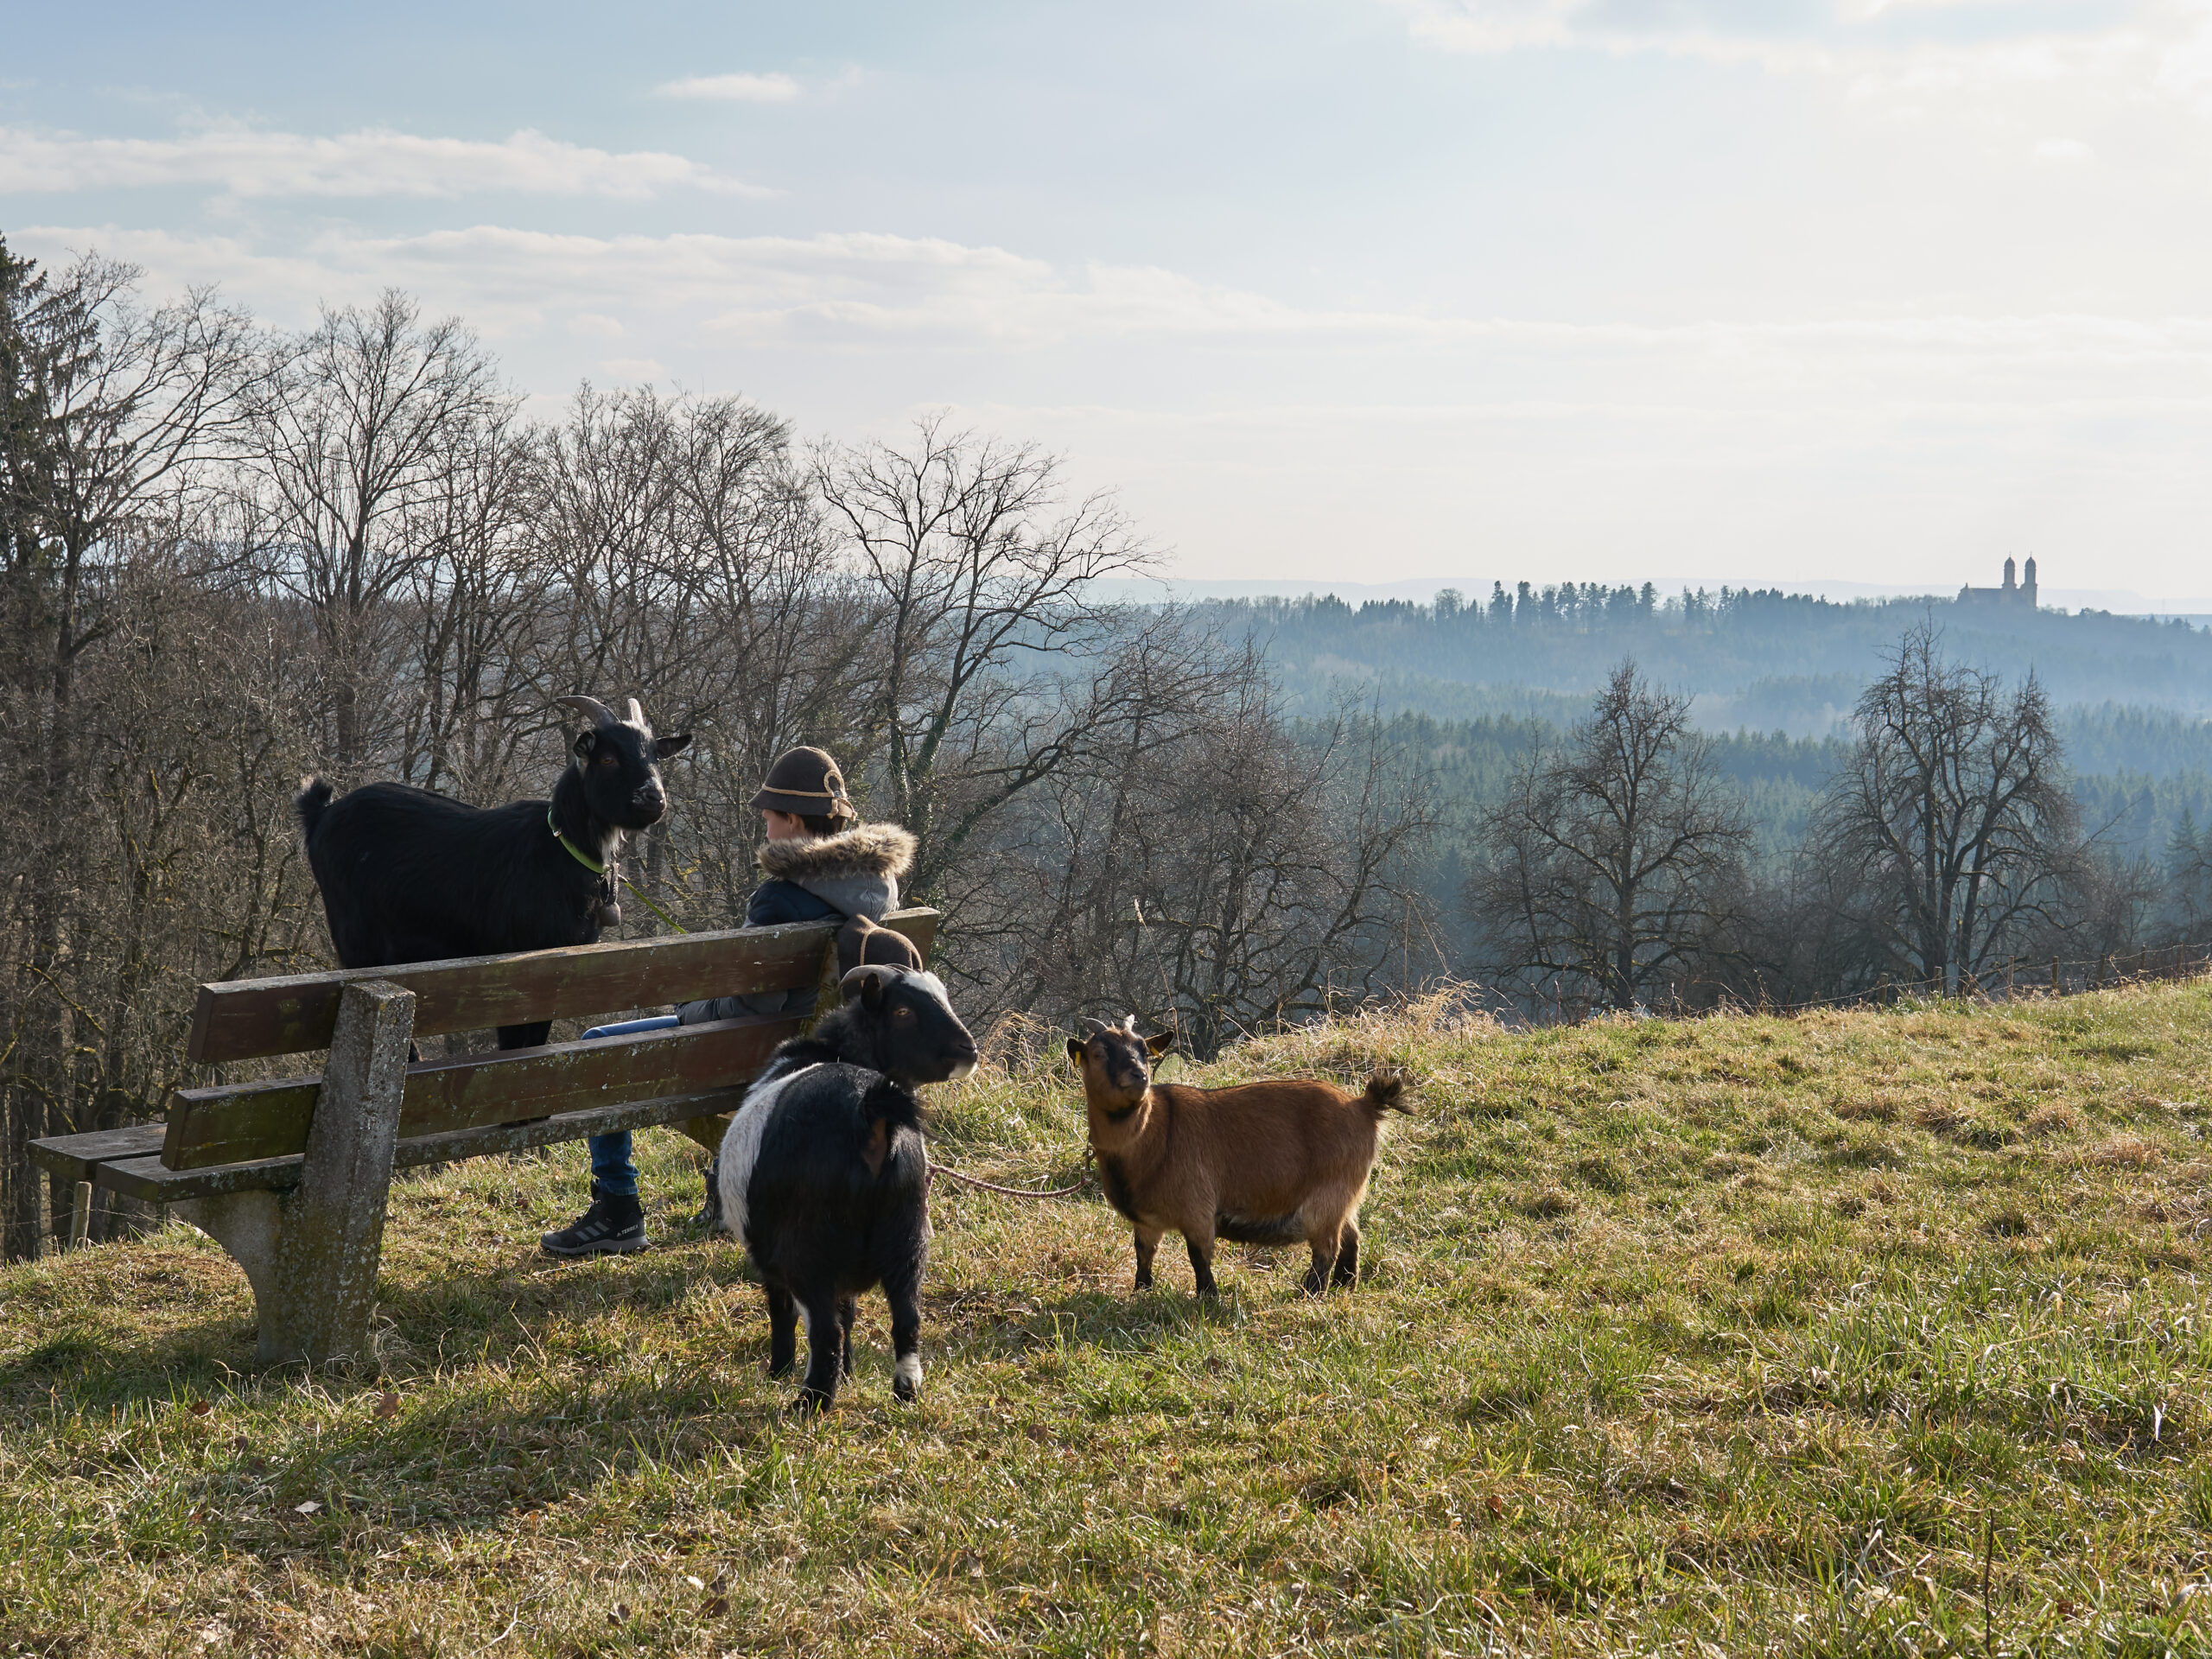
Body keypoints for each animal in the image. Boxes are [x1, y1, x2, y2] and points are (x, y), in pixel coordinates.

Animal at [296, 703, 690, 1052]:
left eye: (655, 757)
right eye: (608, 759)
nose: (654, 798)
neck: (560, 847)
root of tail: (321, 813)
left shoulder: (560, 974)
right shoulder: (513, 971)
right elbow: (514, 1046)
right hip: (358, 942)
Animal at [716, 960, 977, 1415]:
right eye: (903, 1011)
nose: (969, 1051)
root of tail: (869, 1110)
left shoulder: (768, 1253)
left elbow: (782, 1310)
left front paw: (778, 1371)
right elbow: (851, 1311)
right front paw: (851, 1373)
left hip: (808, 1248)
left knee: (824, 1329)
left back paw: (811, 1402)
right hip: (907, 1234)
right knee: (906, 1317)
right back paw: (905, 1390)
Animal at [1061, 1013, 1407, 1300]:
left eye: (1145, 1051)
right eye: (1098, 1053)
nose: (1138, 1075)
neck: (1152, 1136)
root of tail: (1364, 1107)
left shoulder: (1197, 1208)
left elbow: (1198, 1255)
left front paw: (1208, 1296)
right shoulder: (1146, 1221)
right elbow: (1144, 1254)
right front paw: (1141, 1292)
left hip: (1329, 1194)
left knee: (1327, 1248)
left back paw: (1309, 1293)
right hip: (1345, 1196)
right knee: (1351, 1235)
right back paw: (1344, 1284)